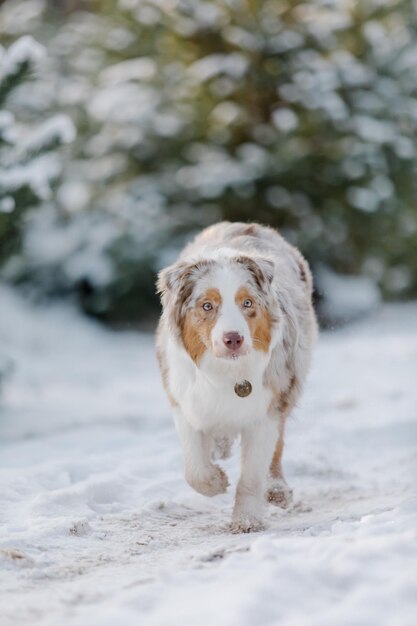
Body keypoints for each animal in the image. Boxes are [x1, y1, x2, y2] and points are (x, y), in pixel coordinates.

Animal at [155, 222, 316, 528]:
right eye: (207, 305)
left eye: (248, 303)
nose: (233, 339)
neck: (227, 371)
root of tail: (246, 224)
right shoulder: (184, 400)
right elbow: (194, 470)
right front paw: (215, 481)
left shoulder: (266, 408)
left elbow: (252, 475)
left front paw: (247, 520)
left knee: (277, 447)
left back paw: (276, 489)